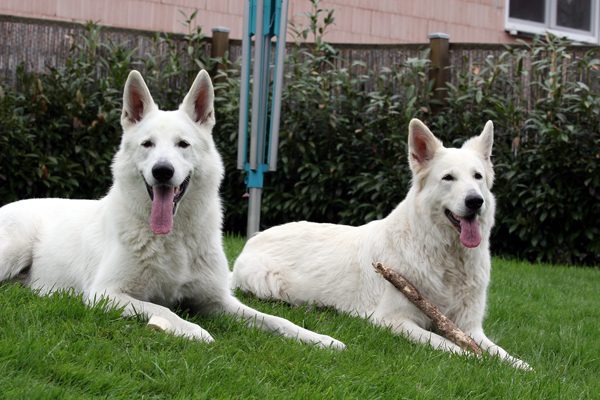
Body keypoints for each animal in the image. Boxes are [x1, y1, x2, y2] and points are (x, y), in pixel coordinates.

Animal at [0, 70, 344, 350]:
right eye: (148, 144)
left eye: (183, 144)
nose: (162, 171)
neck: (173, 238)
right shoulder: (106, 293)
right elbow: (162, 309)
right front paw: (193, 330)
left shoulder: (219, 300)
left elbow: (275, 320)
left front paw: (319, 339)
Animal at [232, 119, 530, 369]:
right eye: (448, 178)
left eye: (477, 177)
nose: (475, 202)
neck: (446, 257)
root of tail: (254, 238)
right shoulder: (393, 320)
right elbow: (448, 343)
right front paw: (477, 359)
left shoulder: (470, 328)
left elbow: (499, 351)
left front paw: (521, 367)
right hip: (270, 286)